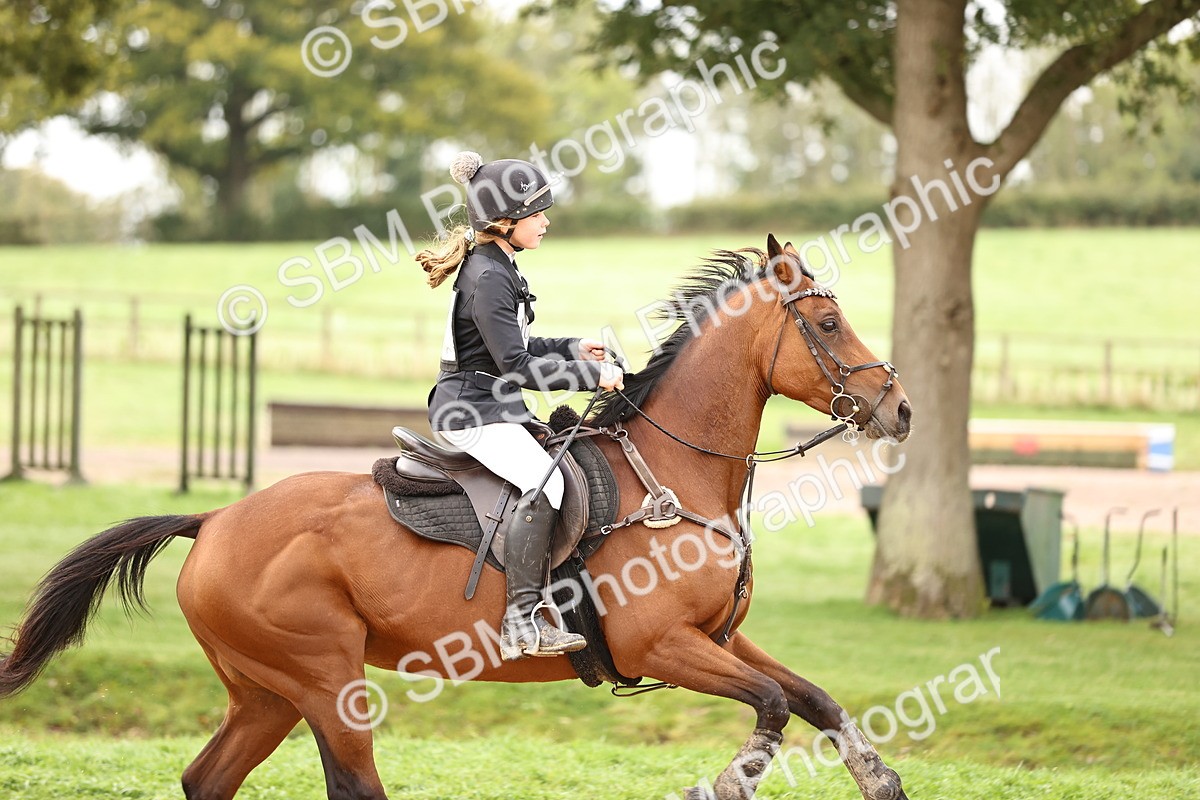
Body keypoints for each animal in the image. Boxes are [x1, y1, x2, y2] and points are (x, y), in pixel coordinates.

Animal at [0, 235, 912, 800]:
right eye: (829, 322)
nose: (899, 409)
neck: (676, 473)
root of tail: (216, 518)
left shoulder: (717, 637)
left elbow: (815, 699)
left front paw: (882, 779)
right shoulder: (663, 644)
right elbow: (771, 705)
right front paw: (723, 782)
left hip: (265, 693)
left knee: (206, 780)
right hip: (324, 680)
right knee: (351, 782)